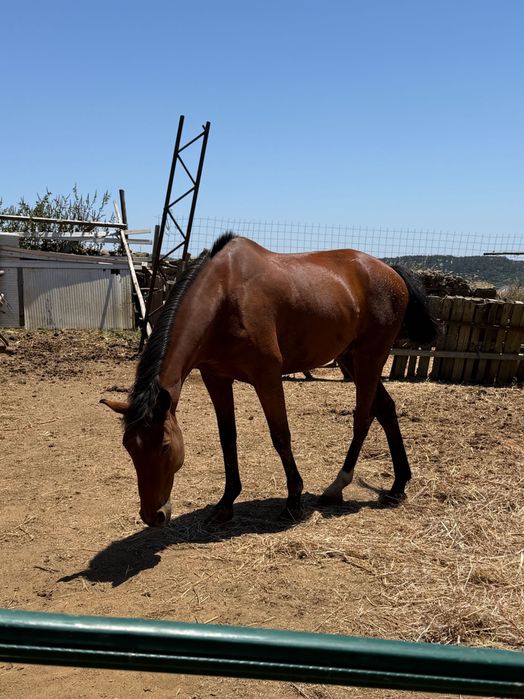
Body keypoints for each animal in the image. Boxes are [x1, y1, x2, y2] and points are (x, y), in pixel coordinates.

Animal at [102, 233, 437, 528]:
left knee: (364, 417)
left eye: (164, 447)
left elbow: (280, 436)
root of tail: (389, 270)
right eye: (129, 447)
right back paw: (398, 485)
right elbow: (228, 438)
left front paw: (293, 502)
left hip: (369, 359)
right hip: (351, 359)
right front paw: (226, 504)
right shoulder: (216, 378)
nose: (153, 515)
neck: (224, 296)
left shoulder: (268, 377)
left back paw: (336, 487)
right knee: (386, 409)